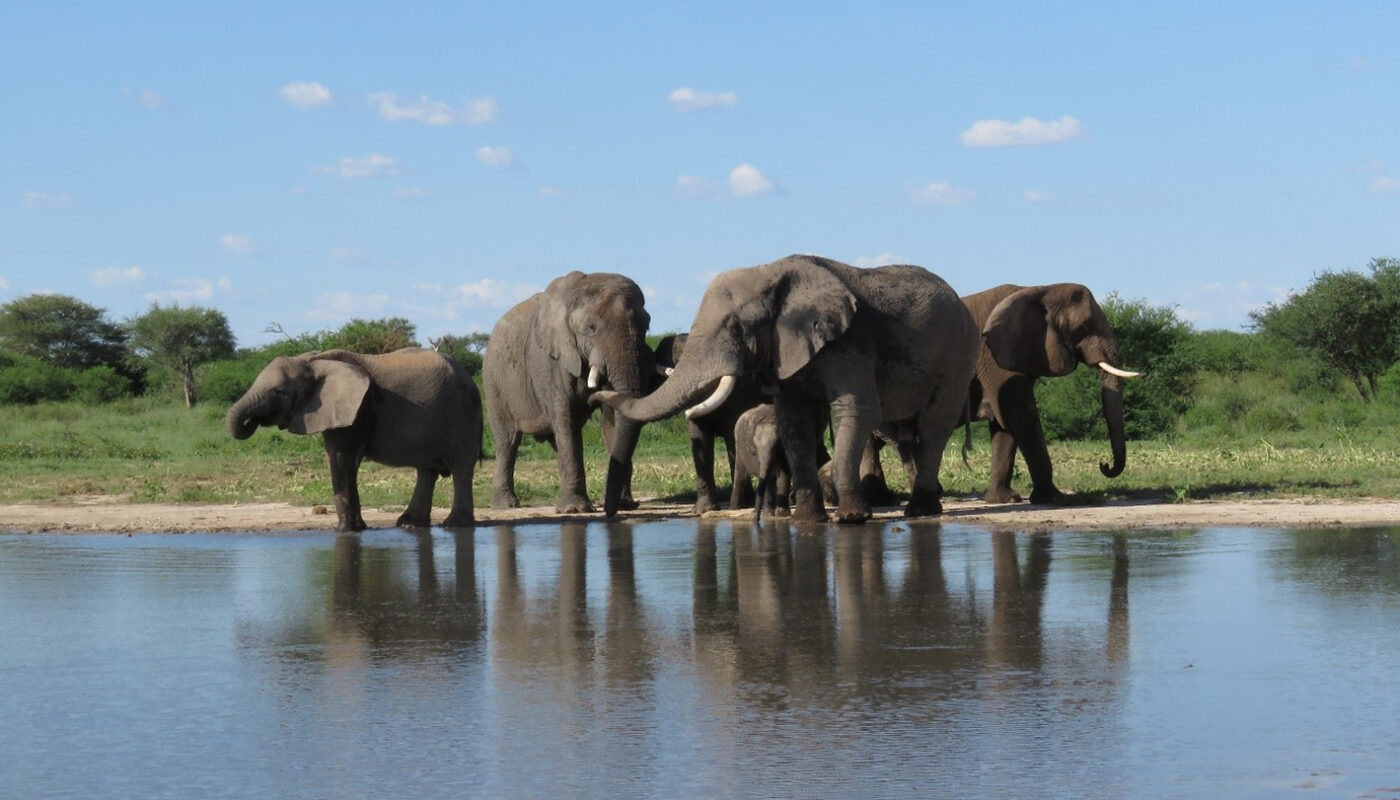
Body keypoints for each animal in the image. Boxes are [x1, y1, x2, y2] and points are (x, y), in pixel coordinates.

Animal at [226, 347, 482, 532]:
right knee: (426, 471)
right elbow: (340, 459)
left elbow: (340, 457)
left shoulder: (357, 409)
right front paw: (358, 528)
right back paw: (409, 524)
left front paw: (344, 531)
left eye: (279, 392)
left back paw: (454, 525)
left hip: (463, 414)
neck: (313, 361)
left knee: (461, 467)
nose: (253, 421)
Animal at [483, 271, 653, 516]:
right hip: (494, 381)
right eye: (591, 327)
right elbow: (566, 418)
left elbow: (611, 418)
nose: (609, 509)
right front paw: (575, 510)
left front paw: (623, 505)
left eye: (646, 325)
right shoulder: (549, 361)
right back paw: (506, 505)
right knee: (508, 441)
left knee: (556, 441)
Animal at [964, 282, 1140, 503]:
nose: (1104, 464)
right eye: (1085, 326)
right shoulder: (997, 362)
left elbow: (1005, 428)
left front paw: (1005, 499)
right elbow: (1021, 417)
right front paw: (1054, 499)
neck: (1038, 289)